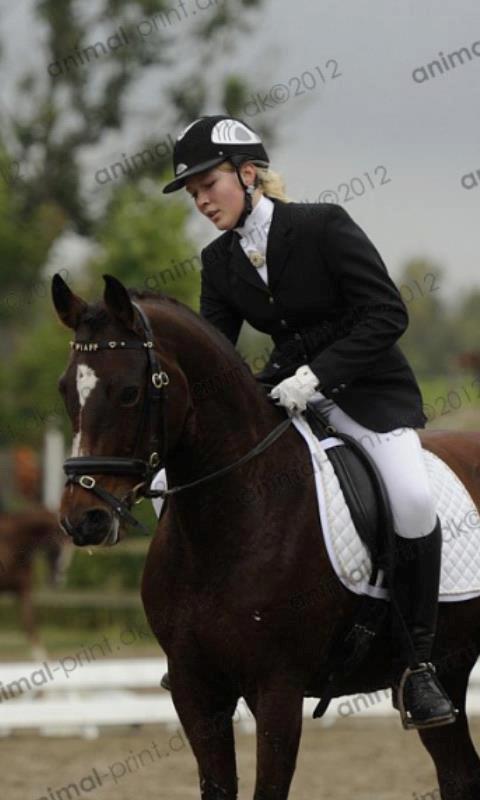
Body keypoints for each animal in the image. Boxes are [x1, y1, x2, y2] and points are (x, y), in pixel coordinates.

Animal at [51, 272, 480, 796]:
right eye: (65, 390)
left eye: (130, 392)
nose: (82, 520)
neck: (228, 522)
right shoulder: (196, 689)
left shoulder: (278, 688)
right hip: (453, 669)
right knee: (460, 773)